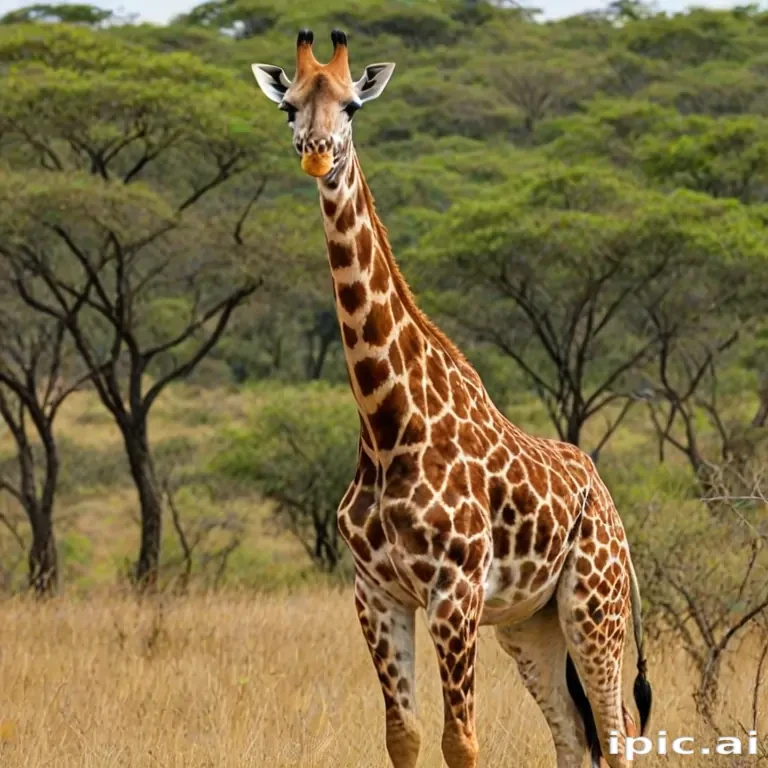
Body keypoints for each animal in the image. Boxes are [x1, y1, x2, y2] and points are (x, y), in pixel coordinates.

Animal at [251, 30, 652, 768]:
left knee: (620, 733)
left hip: (594, 606)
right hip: (530, 623)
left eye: (352, 106)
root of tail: (611, 508)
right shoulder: (376, 593)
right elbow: (404, 735)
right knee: (573, 735)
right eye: (290, 106)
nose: (317, 153)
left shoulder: (454, 591)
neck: (386, 424)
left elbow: (460, 740)